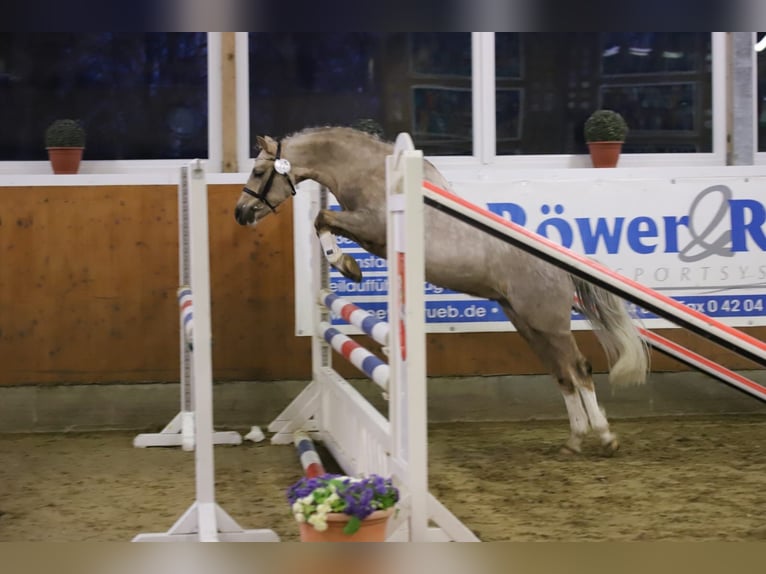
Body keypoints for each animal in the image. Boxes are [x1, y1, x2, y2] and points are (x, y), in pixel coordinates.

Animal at [234, 126, 649, 456]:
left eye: (259, 171)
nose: (240, 213)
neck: (370, 172)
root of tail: (558, 262)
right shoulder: (369, 234)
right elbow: (323, 222)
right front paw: (347, 265)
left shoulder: (373, 227)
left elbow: (323, 218)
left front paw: (346, 265)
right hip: (526, 322)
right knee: (561, 373)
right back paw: (574, 441)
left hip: (549, 323)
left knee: (578, 369)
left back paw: (605, 437)